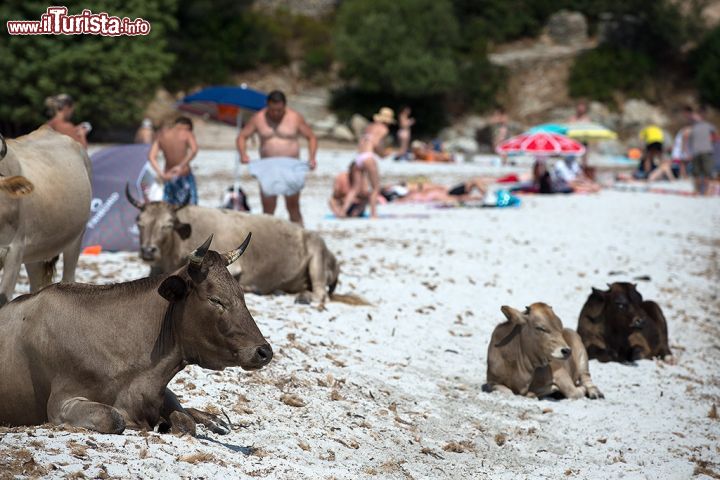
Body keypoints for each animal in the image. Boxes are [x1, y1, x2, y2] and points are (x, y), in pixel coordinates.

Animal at [0, 233, 272, 436]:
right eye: (215, 299)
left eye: (241, 295)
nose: (264, 351)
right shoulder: (60, 404)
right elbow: (115, 418)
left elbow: (184, 421)